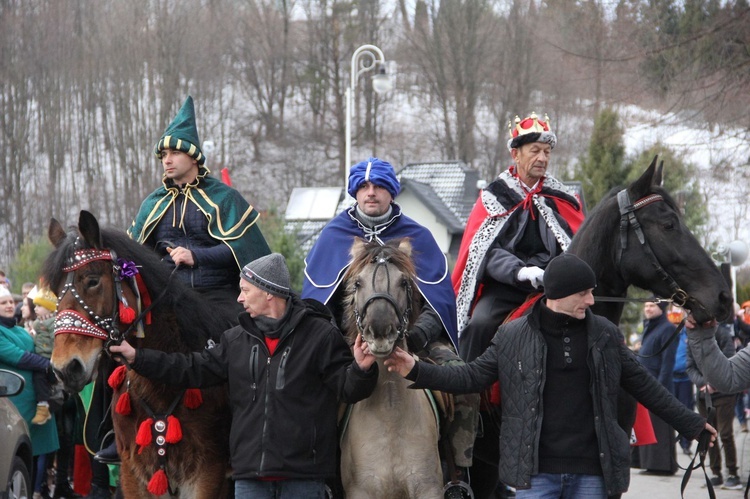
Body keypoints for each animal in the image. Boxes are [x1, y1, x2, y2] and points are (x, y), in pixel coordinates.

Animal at [44, 212, 232, 499]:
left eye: (92, 280)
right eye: (55, 291)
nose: (65, 368)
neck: (162, 383)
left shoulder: (208, 474)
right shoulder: (134, 474)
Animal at [340, 238, 446, 499]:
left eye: (404, 282)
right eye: (358, 283)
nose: (379, 331)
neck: (390, 413)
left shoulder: (428, 488)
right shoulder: (361, 491)